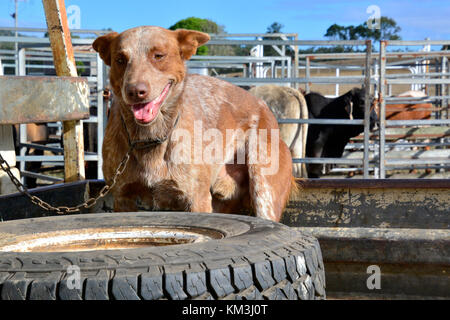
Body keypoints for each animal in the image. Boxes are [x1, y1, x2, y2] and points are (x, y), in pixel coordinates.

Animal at [93, 26, 296, 221]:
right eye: (120, 59)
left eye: (158, 56)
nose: (135, 91)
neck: (150, 137)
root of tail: (265, 107)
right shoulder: (122, 197)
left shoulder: (197, 199)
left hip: (264, 191)